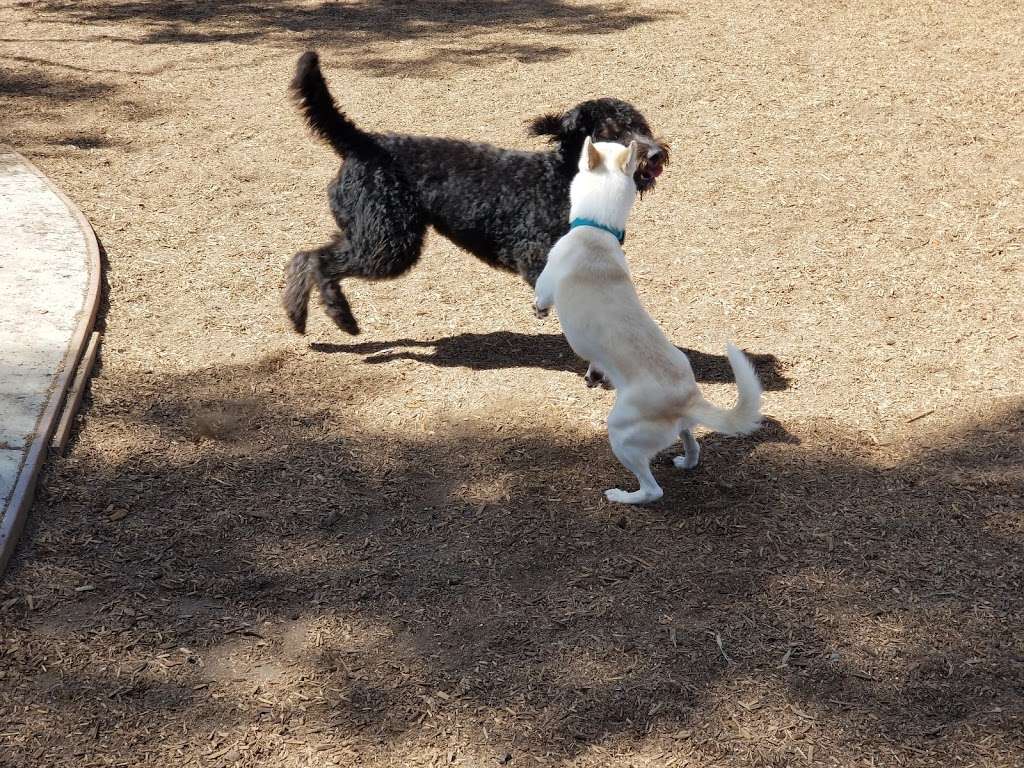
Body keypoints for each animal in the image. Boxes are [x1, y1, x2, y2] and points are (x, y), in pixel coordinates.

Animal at [284, 49, 667, 335]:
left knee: (305, 256)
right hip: (388, 241)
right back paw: (340, 316)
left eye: (641, 125)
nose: (655, 154)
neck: (561, 179)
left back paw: (297, 313)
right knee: (319, 262)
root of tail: (363, 143)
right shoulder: (534, 253)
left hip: (370, 230)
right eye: (614, 131)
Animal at [536, 140, 761, 505]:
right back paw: (686, 461)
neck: (597, 230)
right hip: (677, 427)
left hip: (621, 435)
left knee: (652, 490)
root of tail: (687, 397)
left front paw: (538, 311)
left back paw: (622, 496)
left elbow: (541, 296)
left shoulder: (546, 282)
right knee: (692, 443)